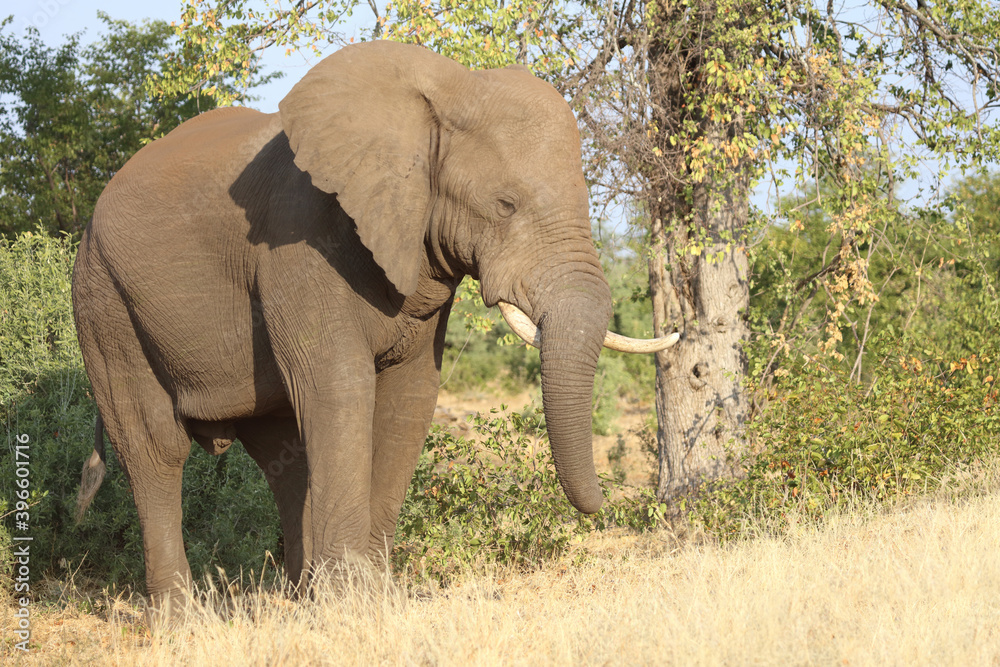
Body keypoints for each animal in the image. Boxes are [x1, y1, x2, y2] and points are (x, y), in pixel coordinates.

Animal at [71, 40, 676, 619]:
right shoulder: (297, 242)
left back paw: (299, 602)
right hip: (105, 304)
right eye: (505, 205)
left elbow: (410, 397)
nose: (612, 505)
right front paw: (351, 606)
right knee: (156, 448)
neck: (443, 94)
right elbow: (340, 389)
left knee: (282, 454)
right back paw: (183, 624)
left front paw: (373, 599)